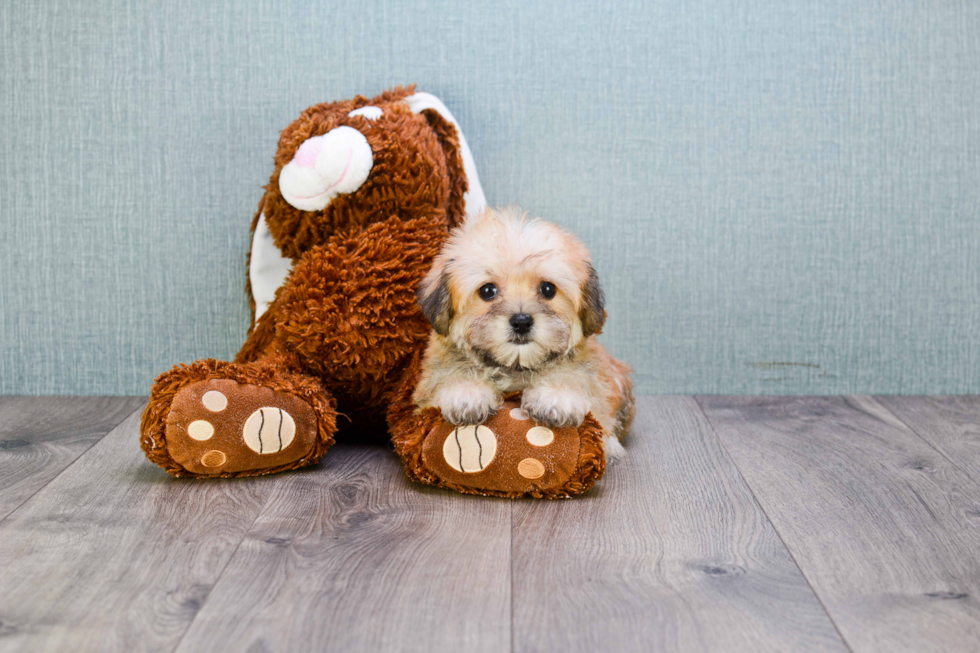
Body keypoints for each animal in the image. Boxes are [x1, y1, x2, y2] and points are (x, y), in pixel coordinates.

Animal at [414, 206, 636, 456]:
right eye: (487, 291)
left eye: (548, 289)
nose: (521, 322)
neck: (515, 369)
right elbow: (450, 376)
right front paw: (465, 391)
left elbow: (576, 377)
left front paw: (557, 394)